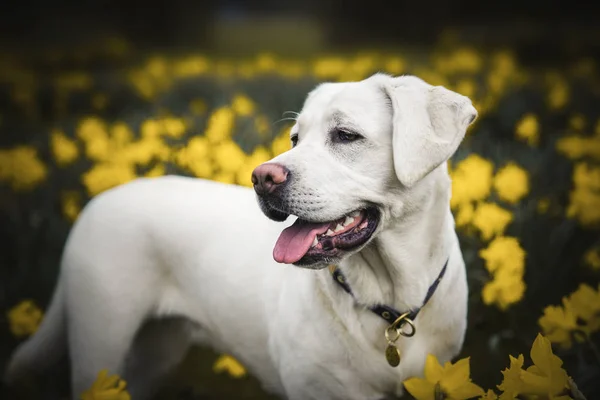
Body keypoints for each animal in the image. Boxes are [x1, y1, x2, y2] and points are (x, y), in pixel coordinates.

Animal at [3, 72, 474, 400]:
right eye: (295, 138)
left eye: (345, 135)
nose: (262, 178)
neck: (392, 299)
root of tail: (95, 200)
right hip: (100, 342)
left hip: (156, 351)